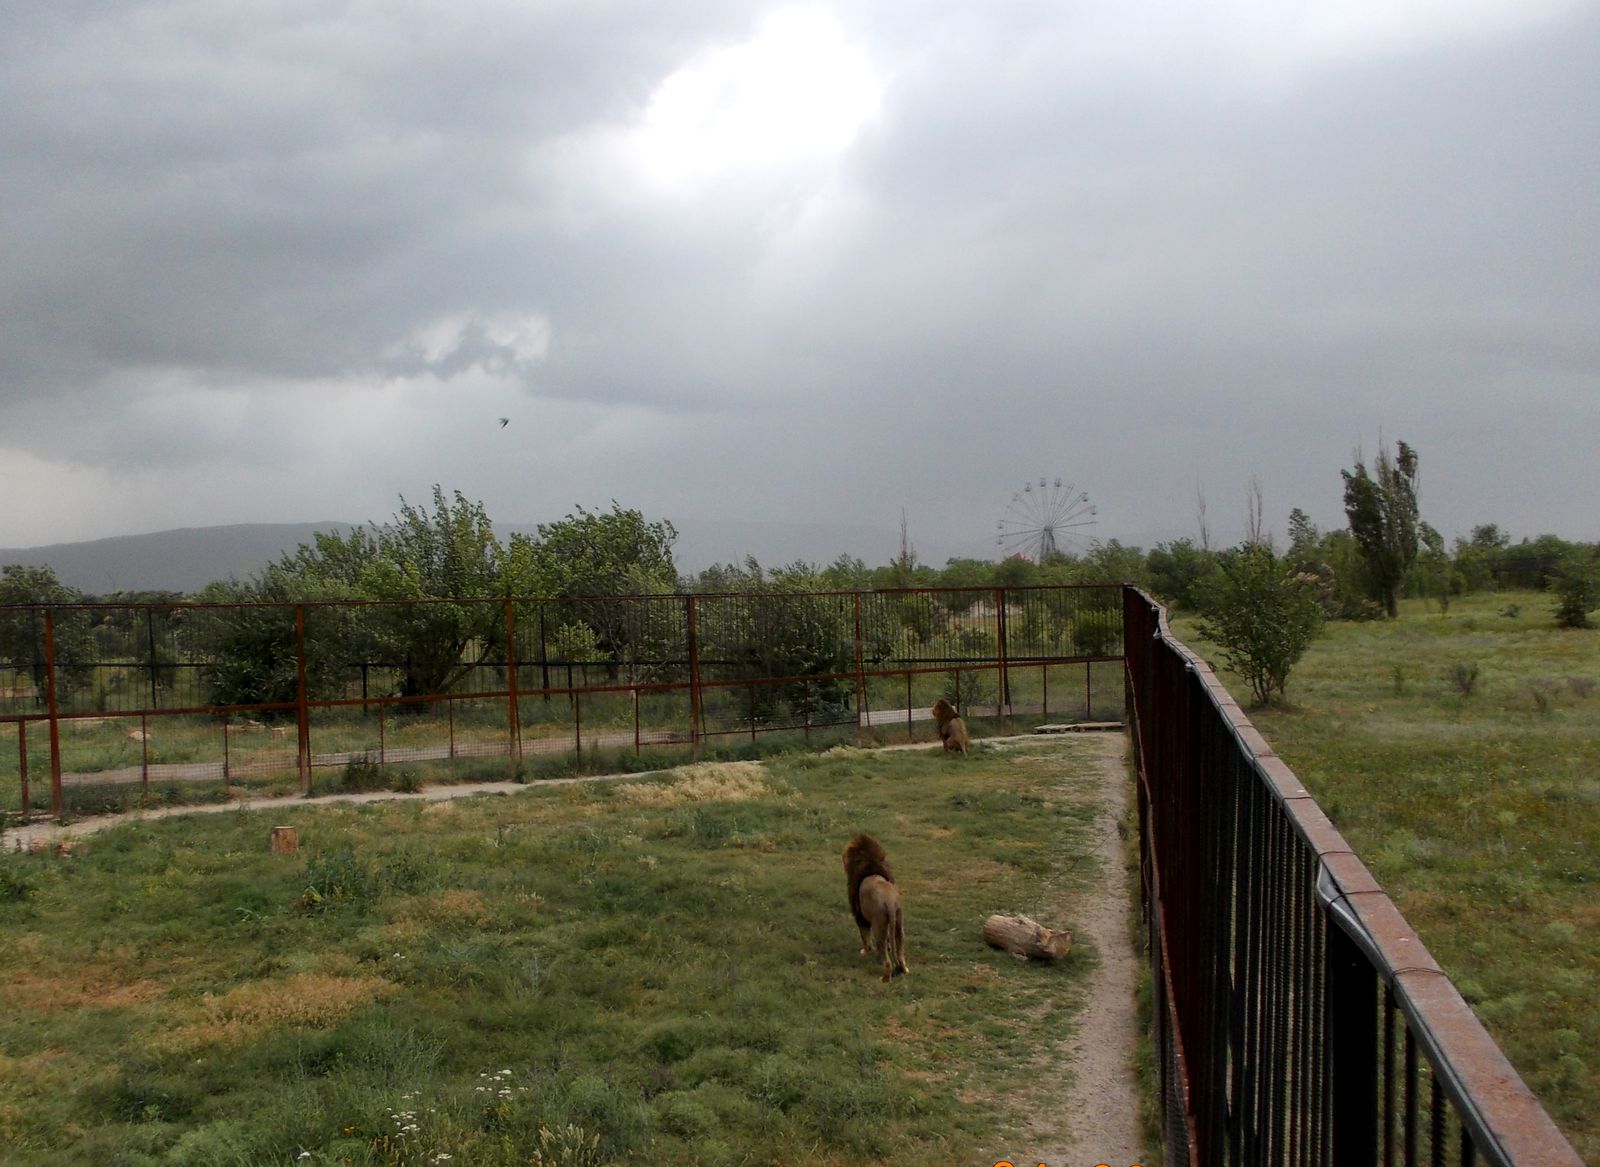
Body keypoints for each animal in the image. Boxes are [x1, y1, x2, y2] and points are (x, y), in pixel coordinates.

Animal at [844, 826, 908, 986]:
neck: (870, 863)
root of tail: (889, 901)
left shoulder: (859, 916)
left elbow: (865, 937)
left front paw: (865, 952)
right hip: (899, 924)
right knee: (900, 954)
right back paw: (904, 970)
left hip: (879, 927)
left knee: (887, 961)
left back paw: (884, 978)